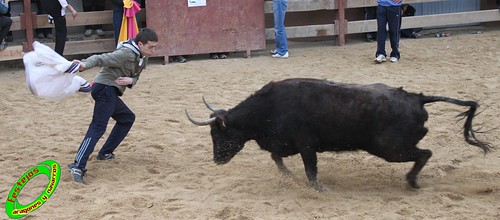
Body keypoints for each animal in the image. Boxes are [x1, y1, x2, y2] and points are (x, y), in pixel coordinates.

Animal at [185, 78, 492, 191]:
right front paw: (288, 176)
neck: (269, 108)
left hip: (392, 149)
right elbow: (277, 158)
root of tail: (417, 98)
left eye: (218, 136)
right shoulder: (284, 144)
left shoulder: (306, 146)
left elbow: (310, 169)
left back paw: (412, 181)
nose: (216, 160)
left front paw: (317, 189)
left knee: (425, 153)